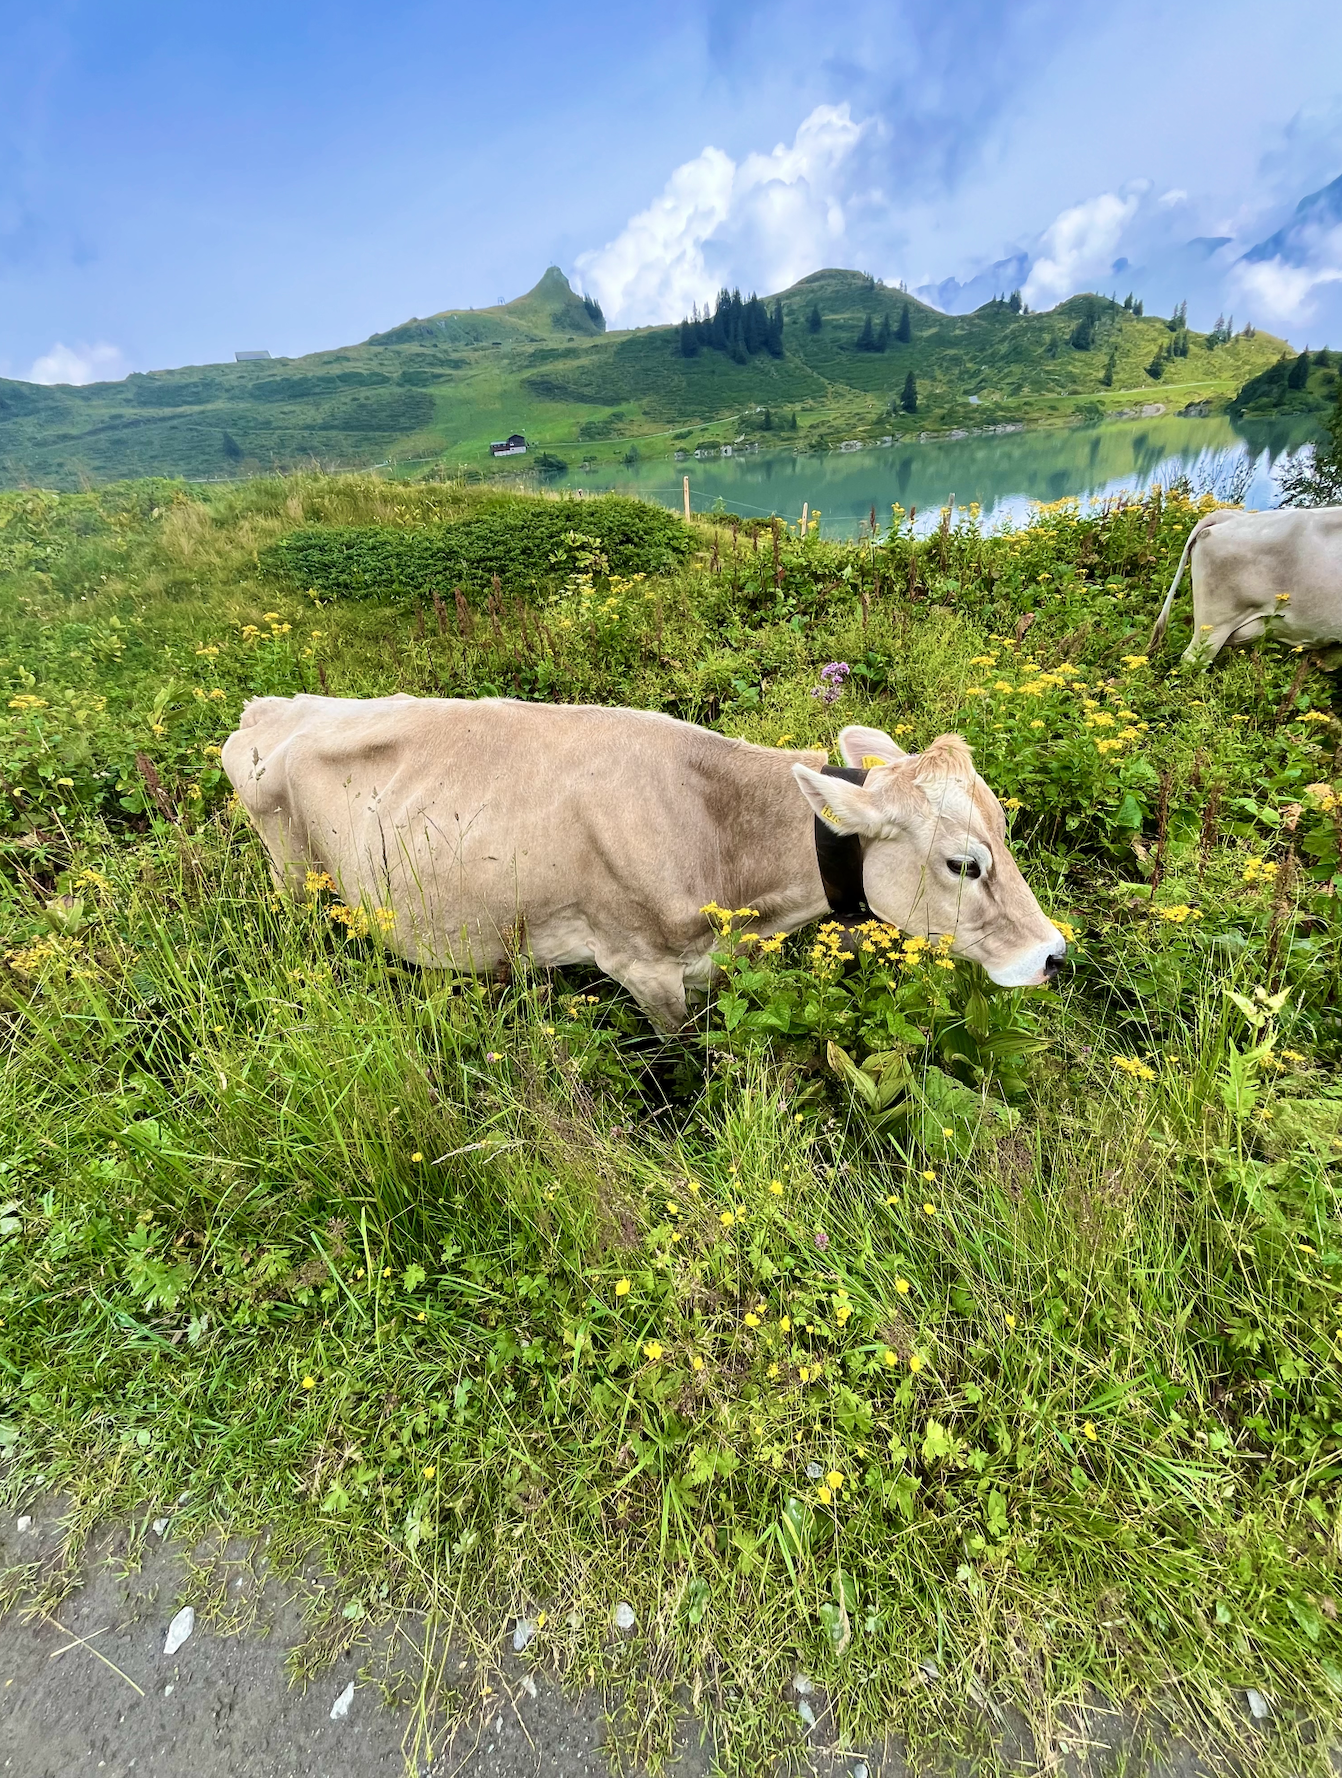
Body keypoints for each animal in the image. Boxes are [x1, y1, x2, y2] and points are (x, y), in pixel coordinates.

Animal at [222, 696, 1066, 1030]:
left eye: (1006, 829)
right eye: (965, 864)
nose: (1055, 954)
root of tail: (268, 708)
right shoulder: (640, 966)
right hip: (296, 886)